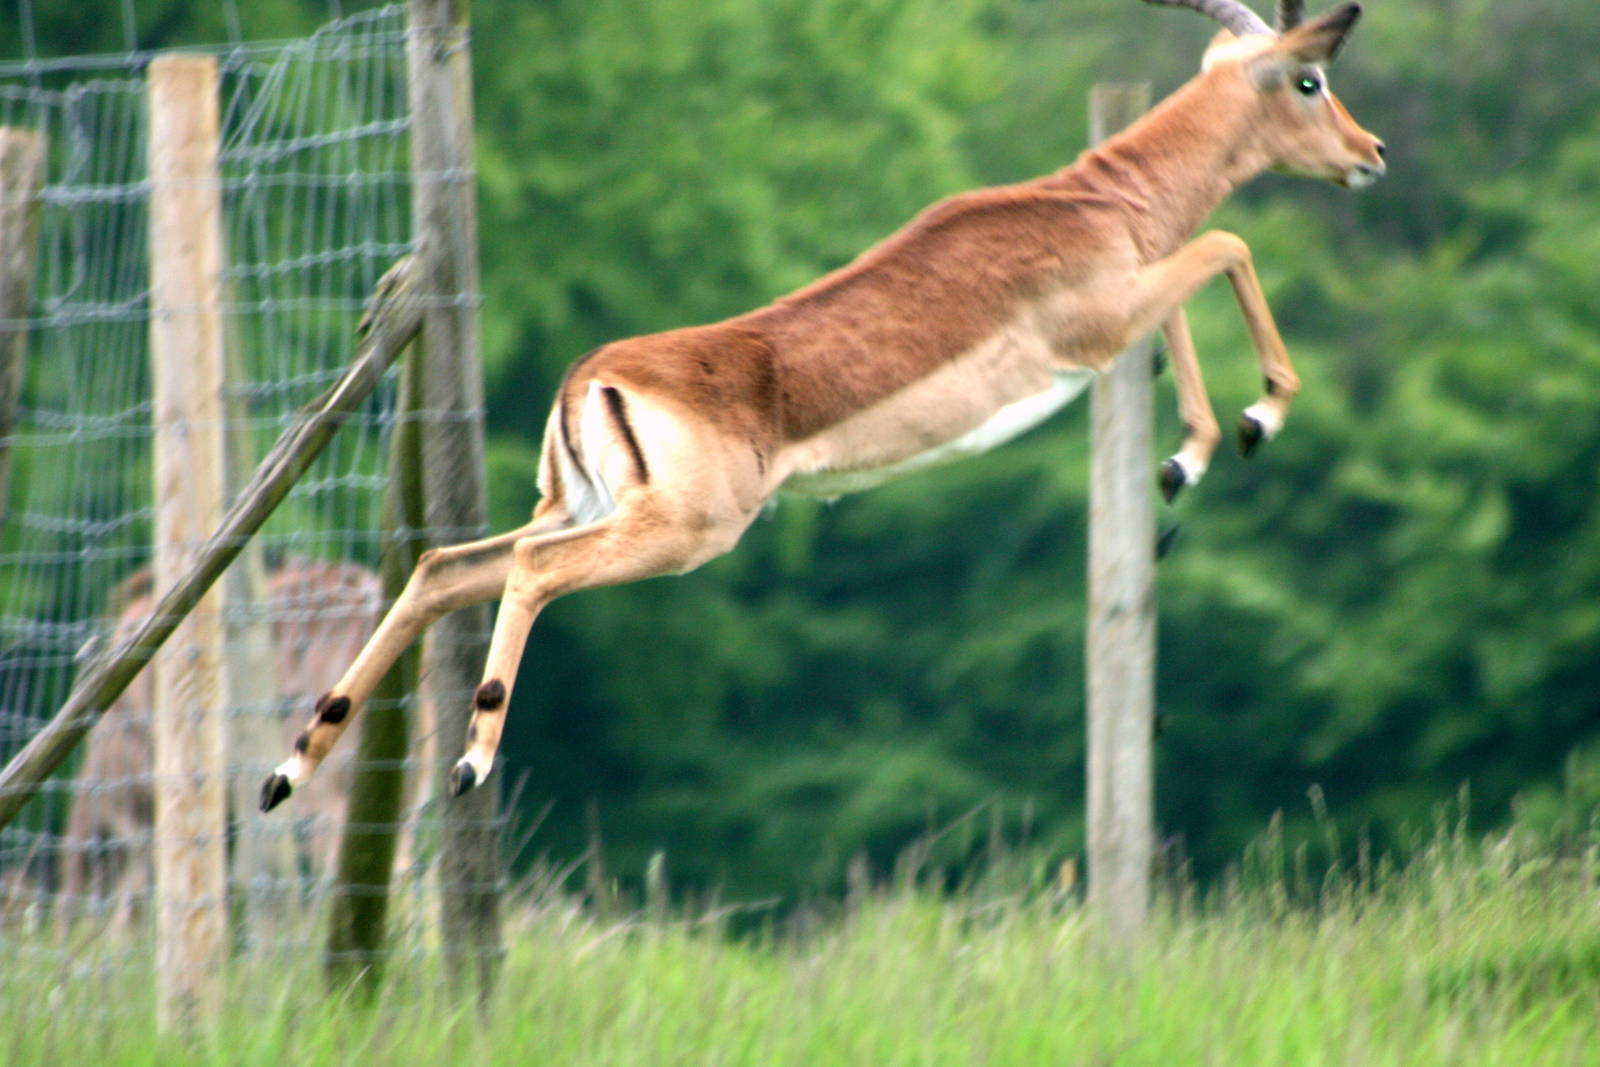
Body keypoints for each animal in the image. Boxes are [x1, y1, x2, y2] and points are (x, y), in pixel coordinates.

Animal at [261, 0, 1384, 812]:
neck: (1103, 200)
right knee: (528, 573)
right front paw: (1250, 422)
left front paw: (1188, 455)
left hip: (576, 504)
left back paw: (287, 769)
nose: (1369, 152)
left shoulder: (1125, 311)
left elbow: (1195, 286)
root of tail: (592, 378)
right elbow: (1225, 247)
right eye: (1311, 78)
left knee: (442, 568)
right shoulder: (1099, 321)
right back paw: (467, 763)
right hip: (675, 530)